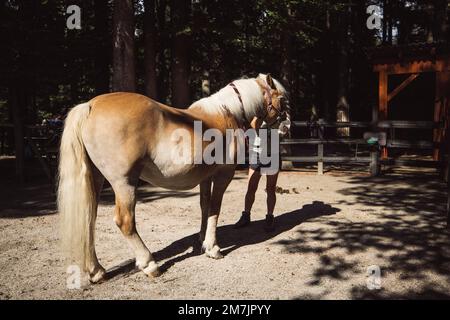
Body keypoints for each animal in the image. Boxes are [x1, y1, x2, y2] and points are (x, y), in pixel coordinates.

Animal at [58, 73, 288, 282]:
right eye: (282, 99)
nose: (286, 127)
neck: (228, 113)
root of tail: (91, 105)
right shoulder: (224, 174)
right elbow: (215, 209)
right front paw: (212, 248)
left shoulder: (206, 177)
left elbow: (205, 206)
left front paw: (202, 240)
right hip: (124, 183)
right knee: (125, 221)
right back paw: (149, 264)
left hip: (96, 179)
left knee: (89, 218)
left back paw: (96, 271)